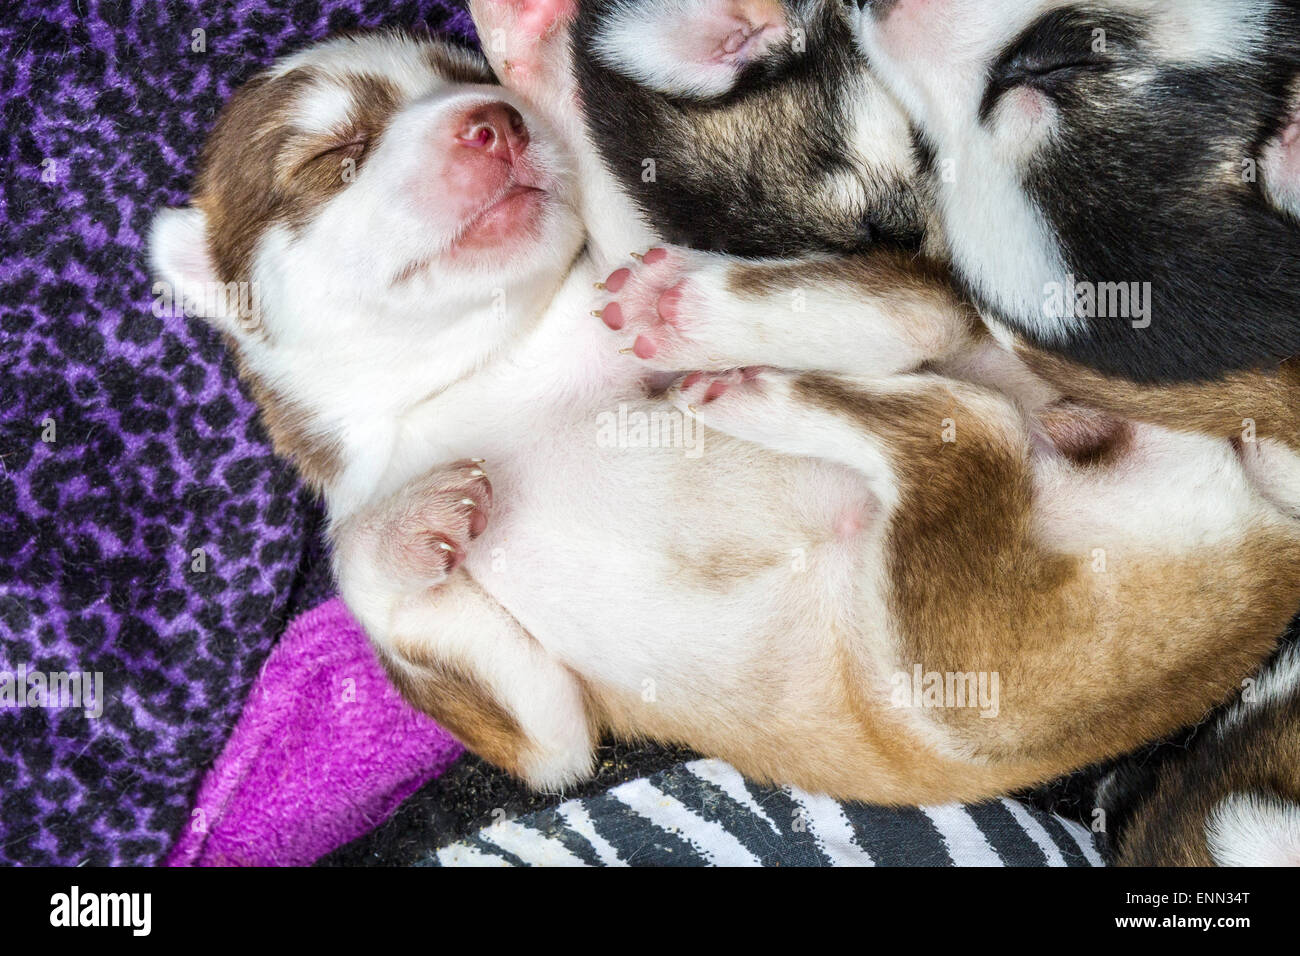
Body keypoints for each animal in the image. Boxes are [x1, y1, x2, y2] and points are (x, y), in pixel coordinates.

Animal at [154, 22, 1300, 806]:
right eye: (332, 160)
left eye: (462, 83)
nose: (498, 117)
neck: (498, 363)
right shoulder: (550, 733)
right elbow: (378, 571)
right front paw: (419, 522)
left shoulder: (903, 294)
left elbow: (870, 305)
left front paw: (685, 299)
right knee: (958, 436)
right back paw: (768, 394)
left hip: (962, 659)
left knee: (955, 432)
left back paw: (745, 374)